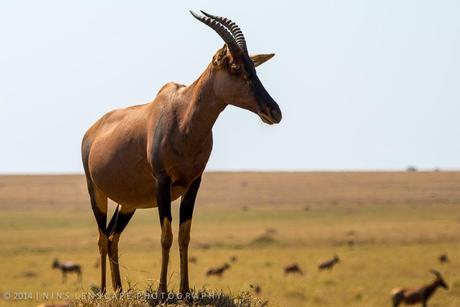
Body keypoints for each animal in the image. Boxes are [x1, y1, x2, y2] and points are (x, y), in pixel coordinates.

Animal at [81, 10, 282, 298]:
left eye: (253, 68)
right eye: (235, 68)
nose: (274, 112)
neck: (183, 115)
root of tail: (92, 131)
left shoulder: (194, 182)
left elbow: (185, 235)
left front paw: (185, 291)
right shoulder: (162, 182)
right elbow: (166, 236)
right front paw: (162, 293)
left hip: (128, 202)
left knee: (112, 236)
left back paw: (119, 291)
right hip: (96, 191)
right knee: (100, 237)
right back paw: (105, 291)